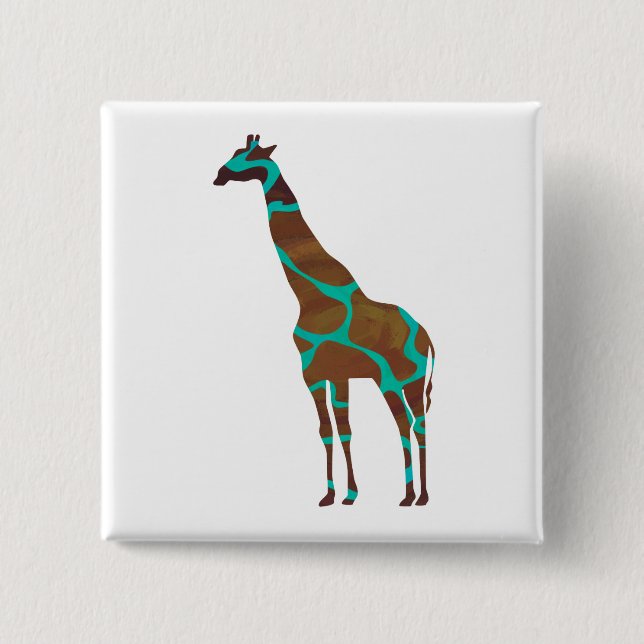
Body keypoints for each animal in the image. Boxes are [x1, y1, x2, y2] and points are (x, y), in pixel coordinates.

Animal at [213, 134, 435, 507]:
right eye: (234, 152)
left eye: (247, 155)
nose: (219, 175)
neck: (309, 295)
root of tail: (427, 338)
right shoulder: (337, 373)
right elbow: (341, 429)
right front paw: (346, 494)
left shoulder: (310, 372)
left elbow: (325, 430)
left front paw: (335, 494)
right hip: (406, 380)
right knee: (415, 423)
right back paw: (418, 495)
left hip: (395, 378)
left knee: (407, 424)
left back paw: (411, 496)